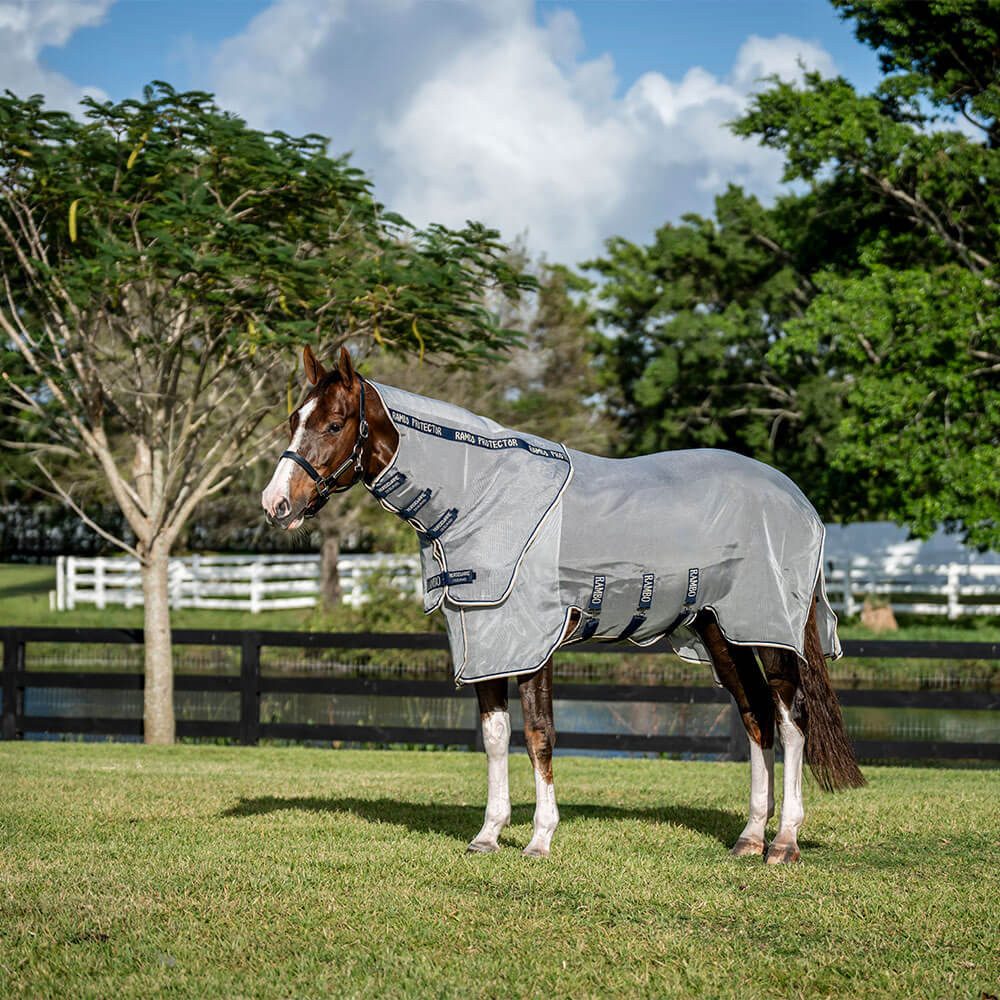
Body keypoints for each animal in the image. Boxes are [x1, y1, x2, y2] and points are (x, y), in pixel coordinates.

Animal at [262, 346, 864, 863]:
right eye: (294, 418)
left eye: (334, 424)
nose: (277, 504)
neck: (480, 495)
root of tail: (799, 501)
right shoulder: (486, 640)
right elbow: (495, 736)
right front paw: (488, 835)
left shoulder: (534, 643)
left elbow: (539, 734)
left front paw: (539, 839)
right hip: (723, 633)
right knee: (756, 715)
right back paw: (748, 838)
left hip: (771, 631)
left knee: (791, 719)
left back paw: (783, 843)